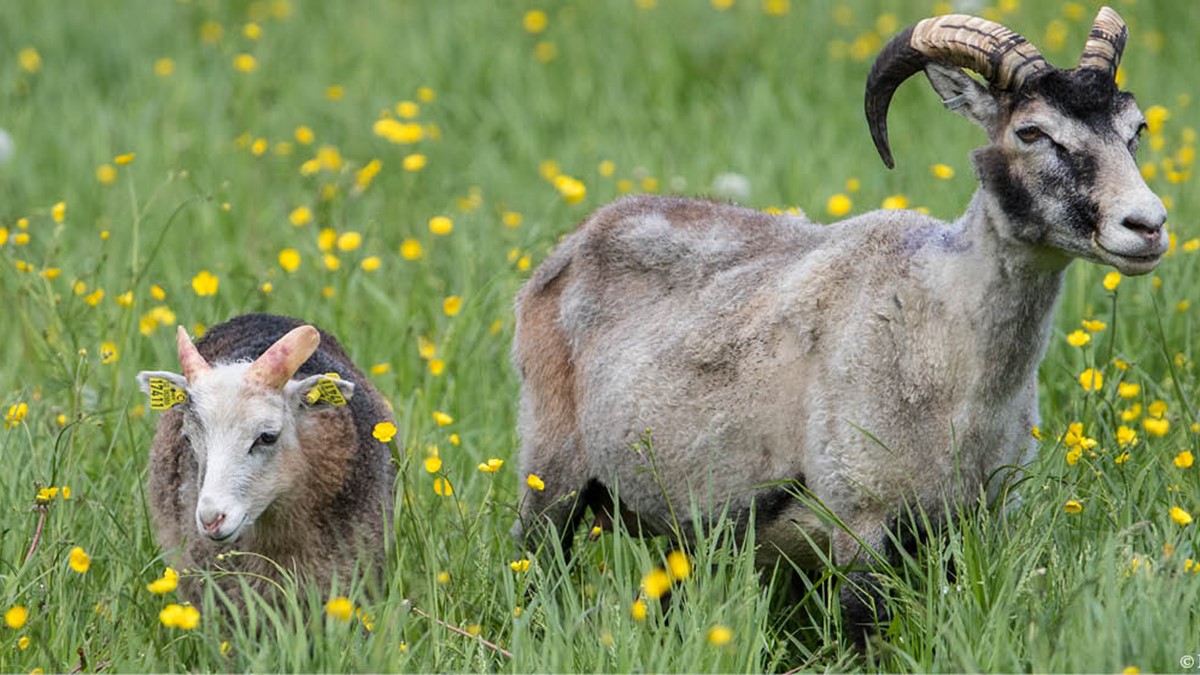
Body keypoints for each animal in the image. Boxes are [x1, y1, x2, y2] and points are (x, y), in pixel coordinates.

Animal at [511, 5, 1166, 638]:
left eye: (1135, 130)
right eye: (1031, 132)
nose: (1148, 225)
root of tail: (581, 236)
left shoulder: (977, 521)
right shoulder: (861, 518)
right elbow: (861, 630)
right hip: (551, 470)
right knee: (533, 567)